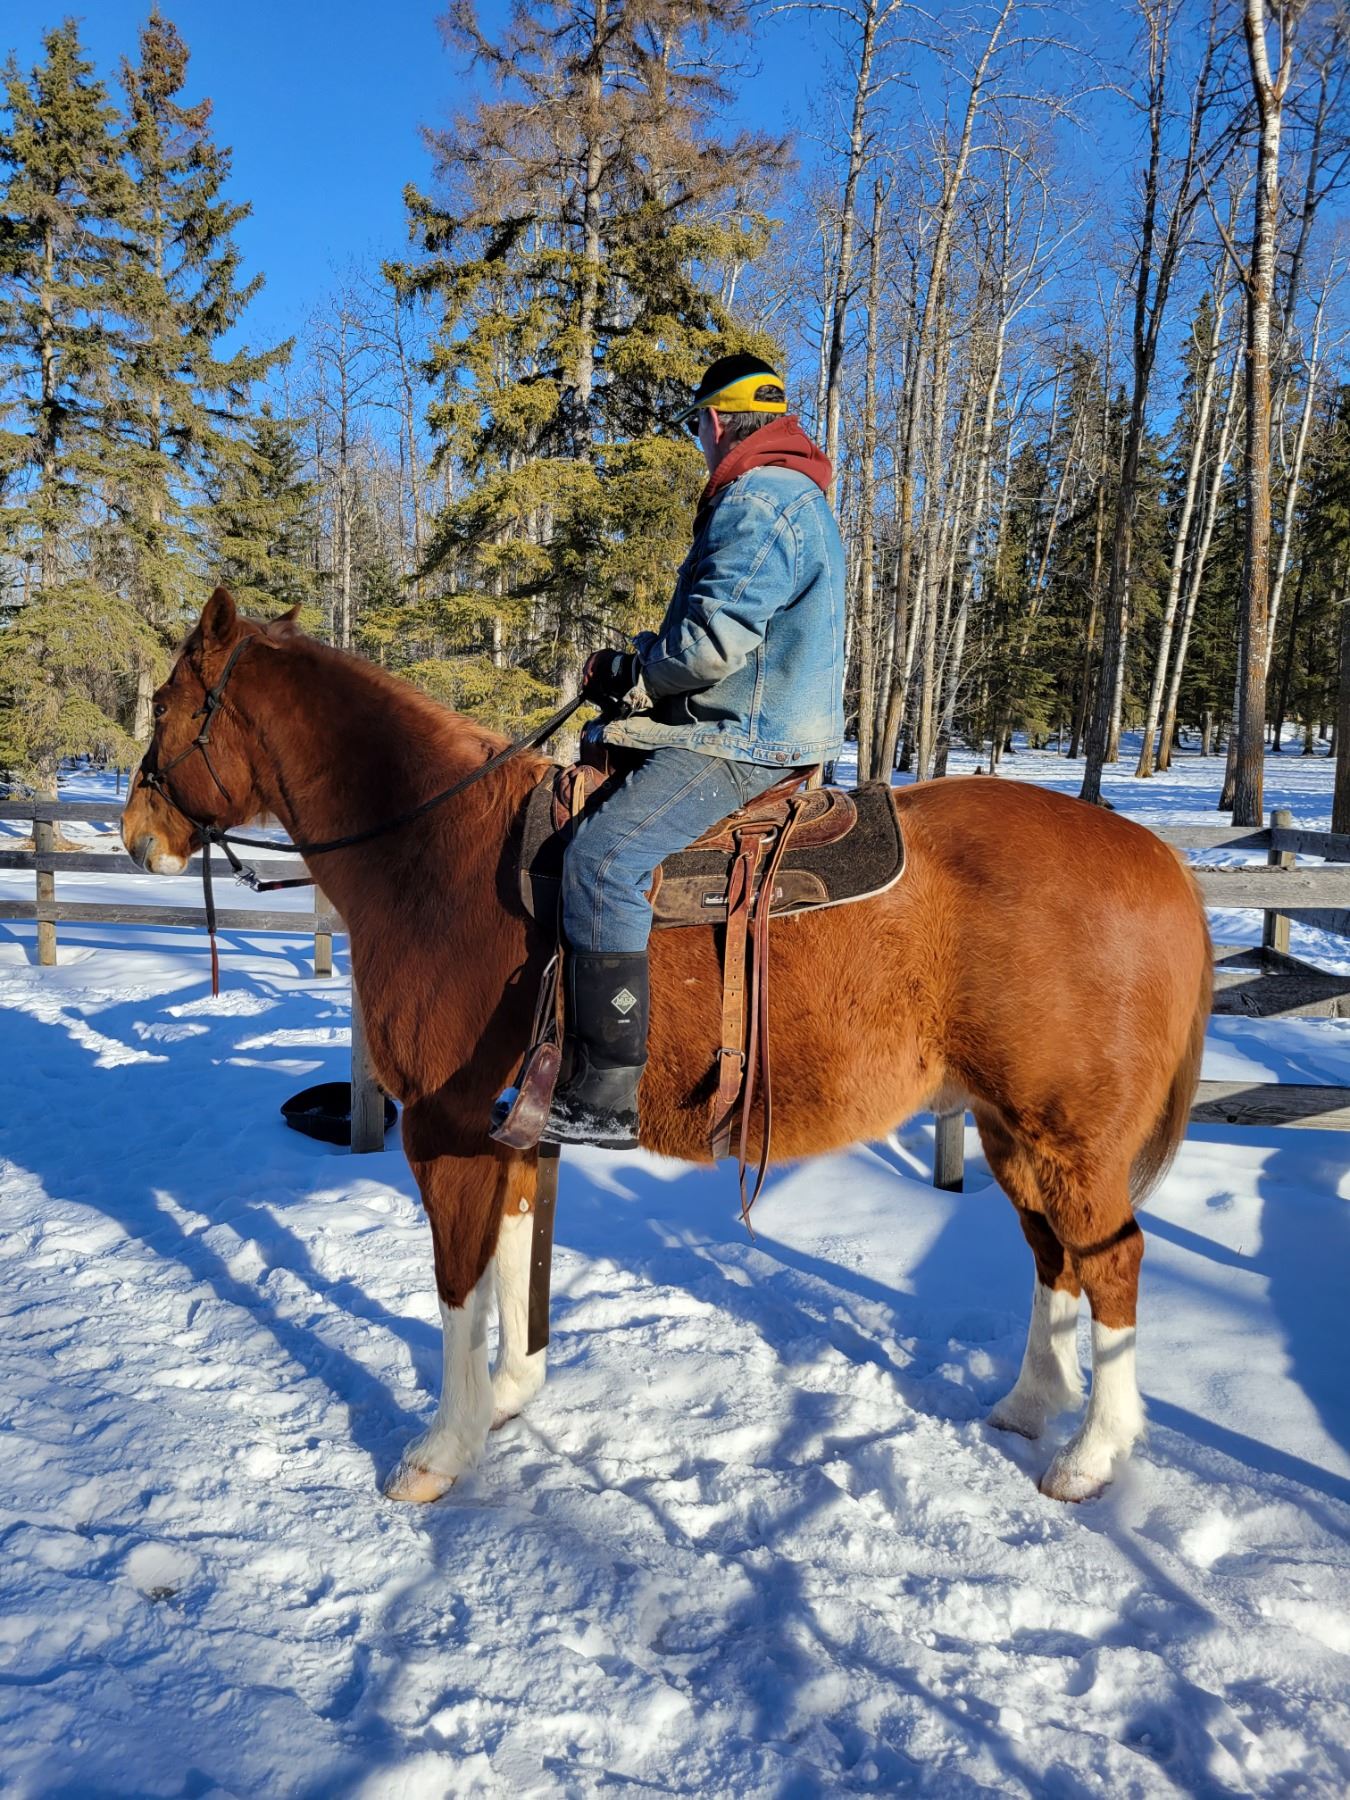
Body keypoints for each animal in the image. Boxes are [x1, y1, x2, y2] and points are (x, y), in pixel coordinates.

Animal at [122, 589, 1212, 1505]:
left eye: (167, 703)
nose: (137, 835)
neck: (439, 852)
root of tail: (1157, 858)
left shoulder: (443, 1130)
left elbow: (458, 1290)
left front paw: (442, 1449)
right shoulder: (510, 1131)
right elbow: (516, 1259)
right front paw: (512, 1395)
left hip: (1067, 1139)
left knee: (1112, 1261)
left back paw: (1091, 1455)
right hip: (1010, 1129)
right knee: (1052, 1256)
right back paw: (1030, 1407)